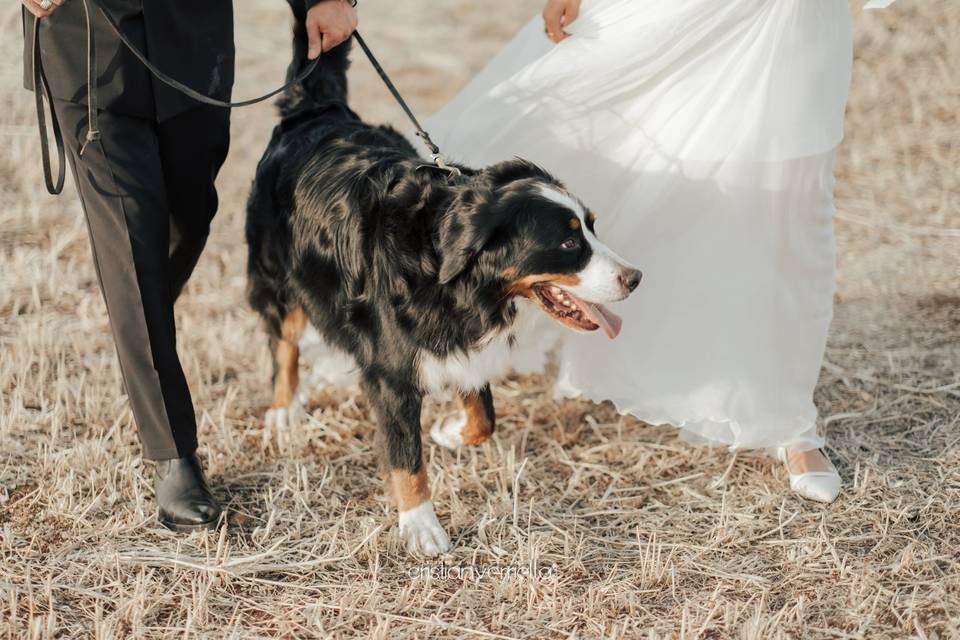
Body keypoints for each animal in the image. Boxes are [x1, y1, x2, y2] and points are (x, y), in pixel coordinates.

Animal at [244, 3, 640, 556]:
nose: (635, 277)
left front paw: (452, 432)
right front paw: (420, 525)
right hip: (277, 276)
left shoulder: (461, 339)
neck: (448, 272)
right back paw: (283, 409)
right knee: (283, 343)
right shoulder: (391, 372)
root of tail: (316, 110)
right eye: (567, 244)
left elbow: (484, 415)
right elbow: (406, 457)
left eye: (591, 226)